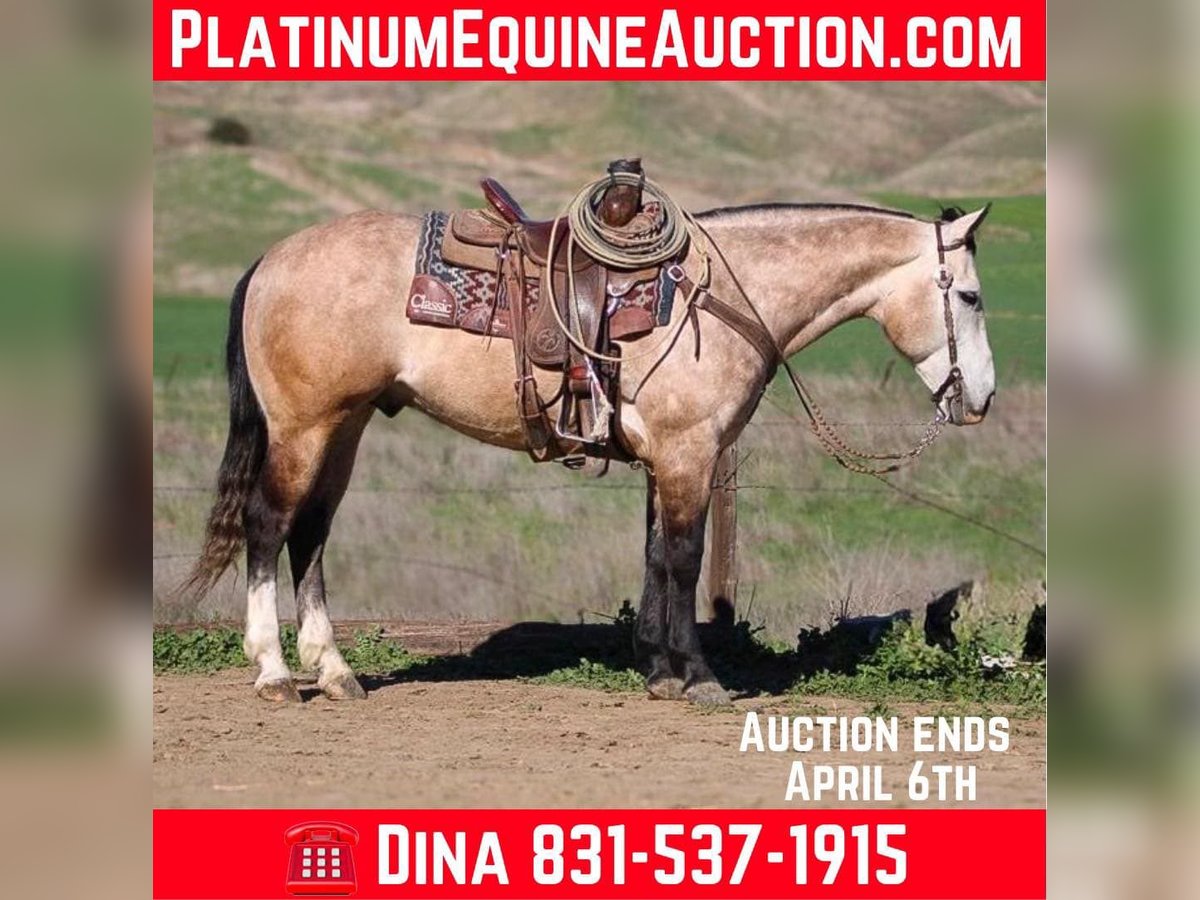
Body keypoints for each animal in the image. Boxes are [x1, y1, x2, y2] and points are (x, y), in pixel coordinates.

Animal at [180, 198, 995, 706]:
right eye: (971, 297)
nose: (980, 398)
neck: (721, 298)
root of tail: (271, 260)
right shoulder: (689, 456)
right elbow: (683, 560)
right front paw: (697, 679)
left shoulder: (670, 463)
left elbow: (658, 559)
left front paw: (658, 670)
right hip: (303, 428)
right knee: (268, 526)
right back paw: (274, 672)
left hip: (343, 427)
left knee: (311, 534)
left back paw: (336, 671)